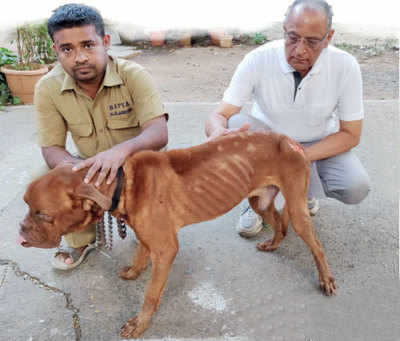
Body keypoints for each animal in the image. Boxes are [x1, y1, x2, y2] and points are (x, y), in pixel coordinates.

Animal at [19, 130, 338, 338]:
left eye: (43, 214)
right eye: (26, 205)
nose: (20, 232)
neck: (124, 183)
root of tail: (289, 141)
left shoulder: (166, 248)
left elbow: (150, 295)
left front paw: (140, 324)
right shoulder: (147, 236)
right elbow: (140, 253)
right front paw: (133, 271)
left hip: (297, 208)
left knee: (317, 244)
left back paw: (326, 279)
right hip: (260, 200)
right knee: (280, 224)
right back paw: (272, 244)